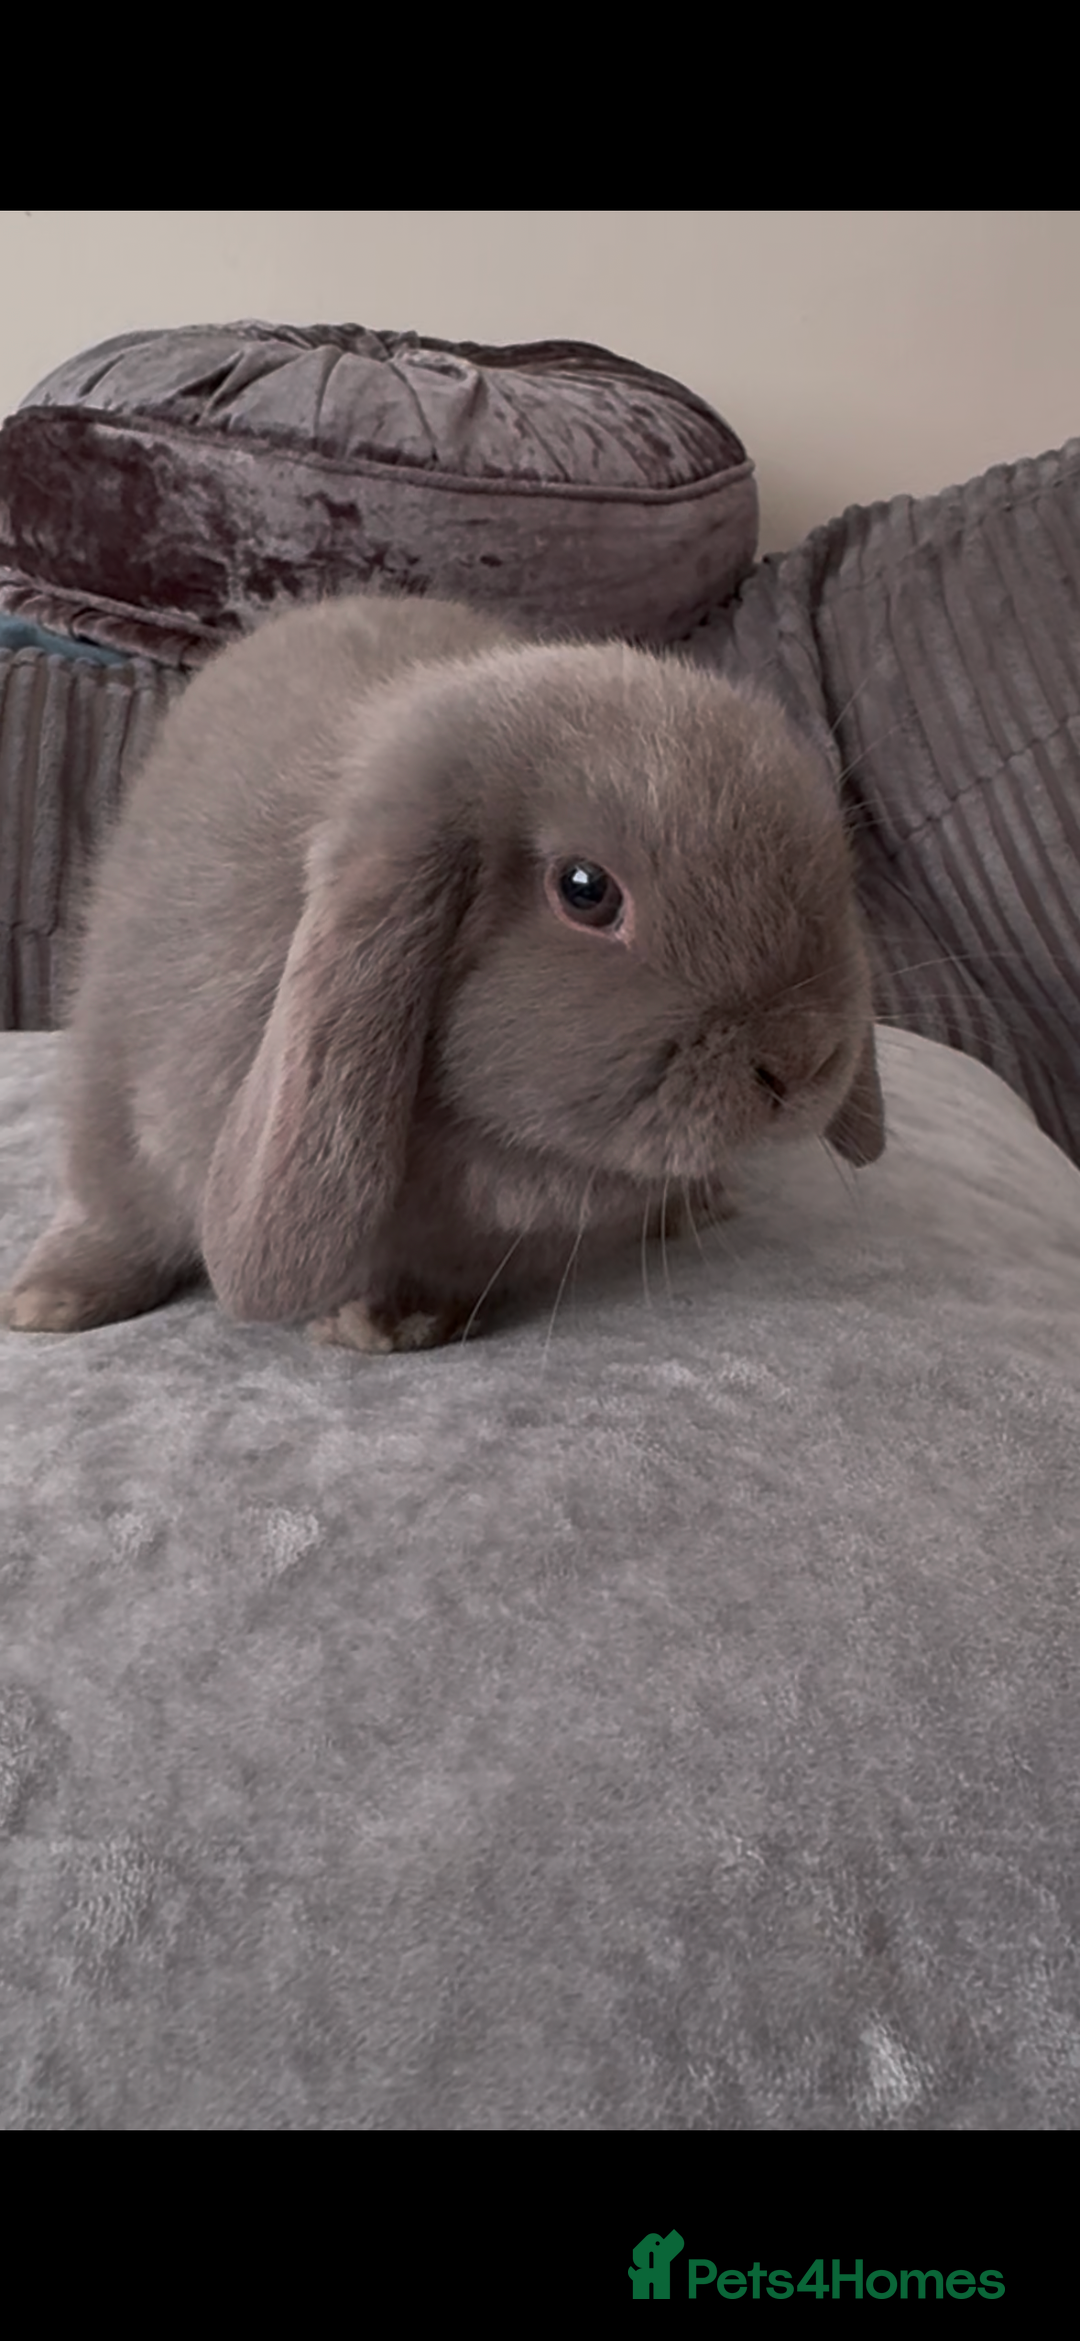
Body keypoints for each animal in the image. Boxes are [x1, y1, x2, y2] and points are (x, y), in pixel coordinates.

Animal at [1, 589, 885, 1352]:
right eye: (585, 889)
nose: (804, 1058)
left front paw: (392, 1322)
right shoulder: (116, 1094)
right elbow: (113, 1214)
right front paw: (45, 1303)